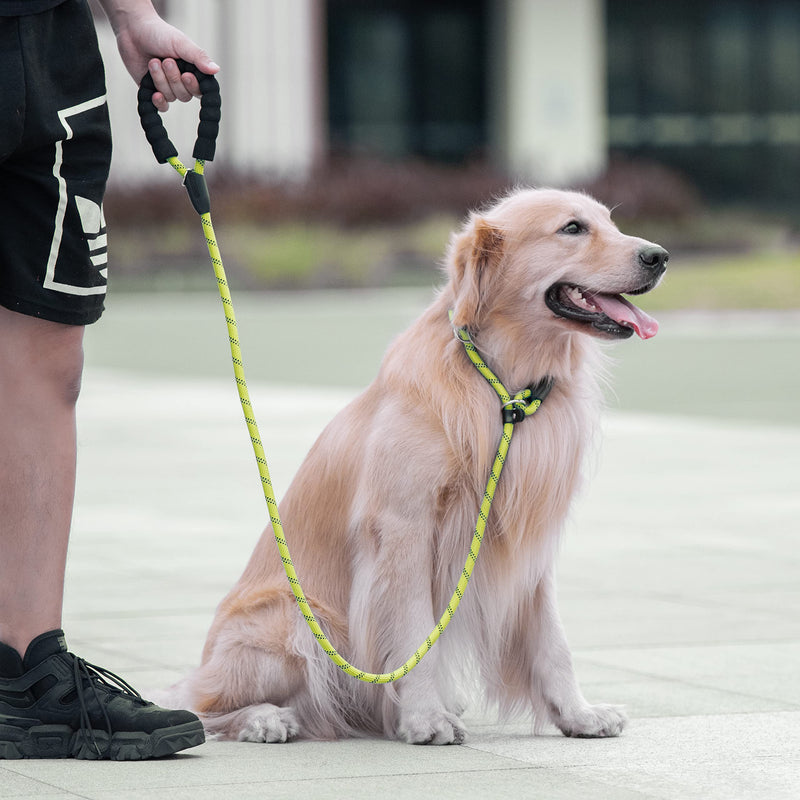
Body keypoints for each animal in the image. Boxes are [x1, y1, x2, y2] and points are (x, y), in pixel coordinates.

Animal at [167, 186, 668, 744]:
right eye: (573, 228)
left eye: (610, 223)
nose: (660, 256)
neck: (502, 389)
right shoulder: (404, 527)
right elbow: (412, 633)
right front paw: (425, 717)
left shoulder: (528, 538)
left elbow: (552, 640)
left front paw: (578, 713)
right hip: (295, 624)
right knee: (198, 702)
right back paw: (266, 718)